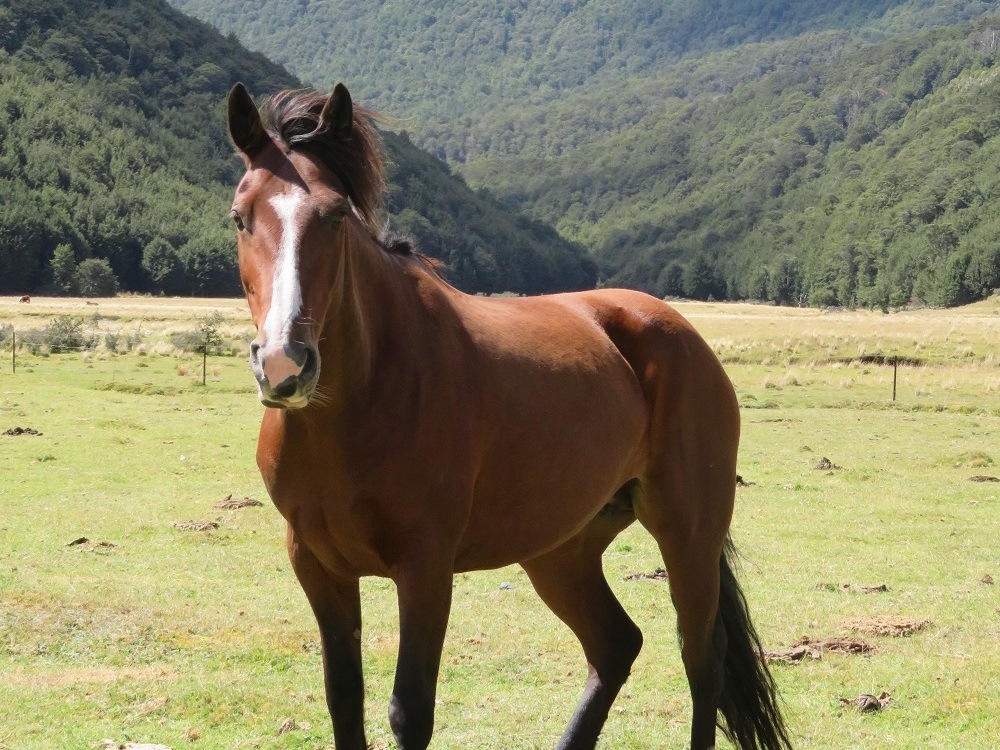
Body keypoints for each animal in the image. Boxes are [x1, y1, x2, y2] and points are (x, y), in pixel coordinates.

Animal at [225, 82, 788, 750]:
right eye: (239, 217)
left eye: (336, 216)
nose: (285, 362)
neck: (357, 408)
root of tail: (677, 329)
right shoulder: (317, 567)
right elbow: (344, 702)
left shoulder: (426, 569)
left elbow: (409, 711)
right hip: (561, 548)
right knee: (616, 645)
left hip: (687, 532)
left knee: (702, 660)